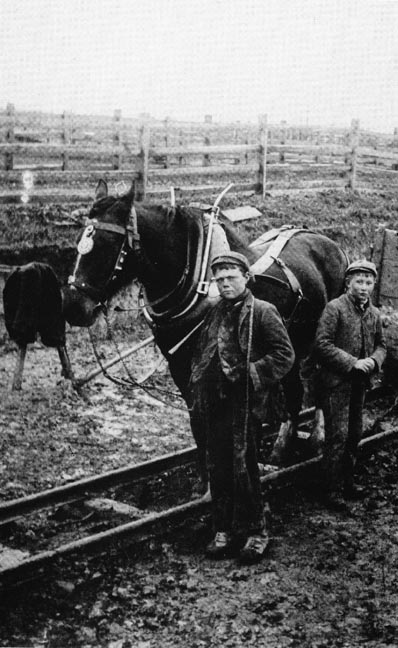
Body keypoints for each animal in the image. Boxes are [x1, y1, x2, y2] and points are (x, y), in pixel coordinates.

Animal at [63, 180, 348, 488]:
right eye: (79, 241)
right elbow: (197, 422)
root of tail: (332, 245)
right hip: (291, 339)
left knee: (317, 380)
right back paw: (282, 444)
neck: (198, 280)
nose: (72, 306)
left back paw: (317, 436)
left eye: (107, 244)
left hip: (318, 336)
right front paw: (204, 481)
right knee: (294, 387)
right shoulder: (180, 365)